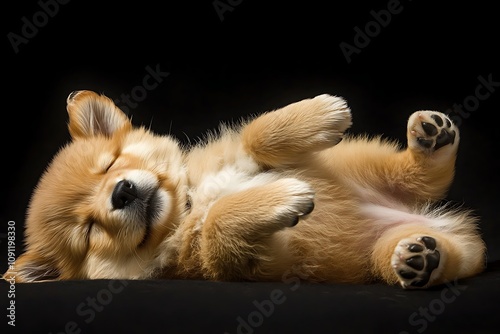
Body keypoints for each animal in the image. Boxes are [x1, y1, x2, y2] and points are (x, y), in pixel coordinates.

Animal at [3, 90, 486, 288]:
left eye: (111, 164)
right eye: (87, 231)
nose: (119, 193)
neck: (189, 204)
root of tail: (417, 216)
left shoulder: (240, 153)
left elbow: (256, 136)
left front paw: (320, 113)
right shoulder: (242, 262)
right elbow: (220, 221)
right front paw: (284, 197)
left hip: (360, 164)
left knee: (418, 176)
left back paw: (431, 136)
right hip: (384, 254)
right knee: (451, 256)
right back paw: (418, 256)